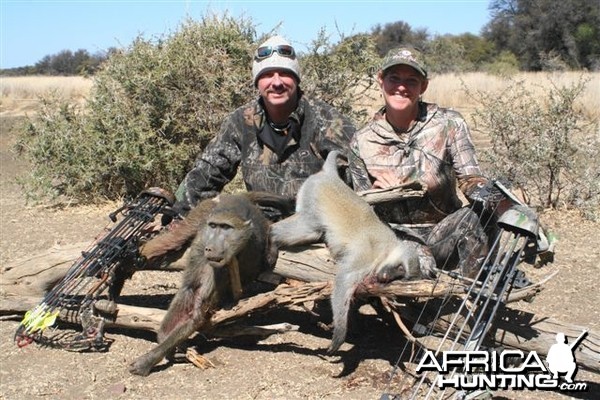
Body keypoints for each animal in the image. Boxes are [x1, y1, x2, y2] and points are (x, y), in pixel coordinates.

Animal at [272, 151, 422, 354]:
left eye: (399, 277)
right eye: (400, 269)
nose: (386, 277)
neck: (386, 249)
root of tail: (330, 176)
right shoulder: (366, 255)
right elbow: (344, 279)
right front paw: (341, 333)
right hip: (312, 194)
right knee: (310, 228)